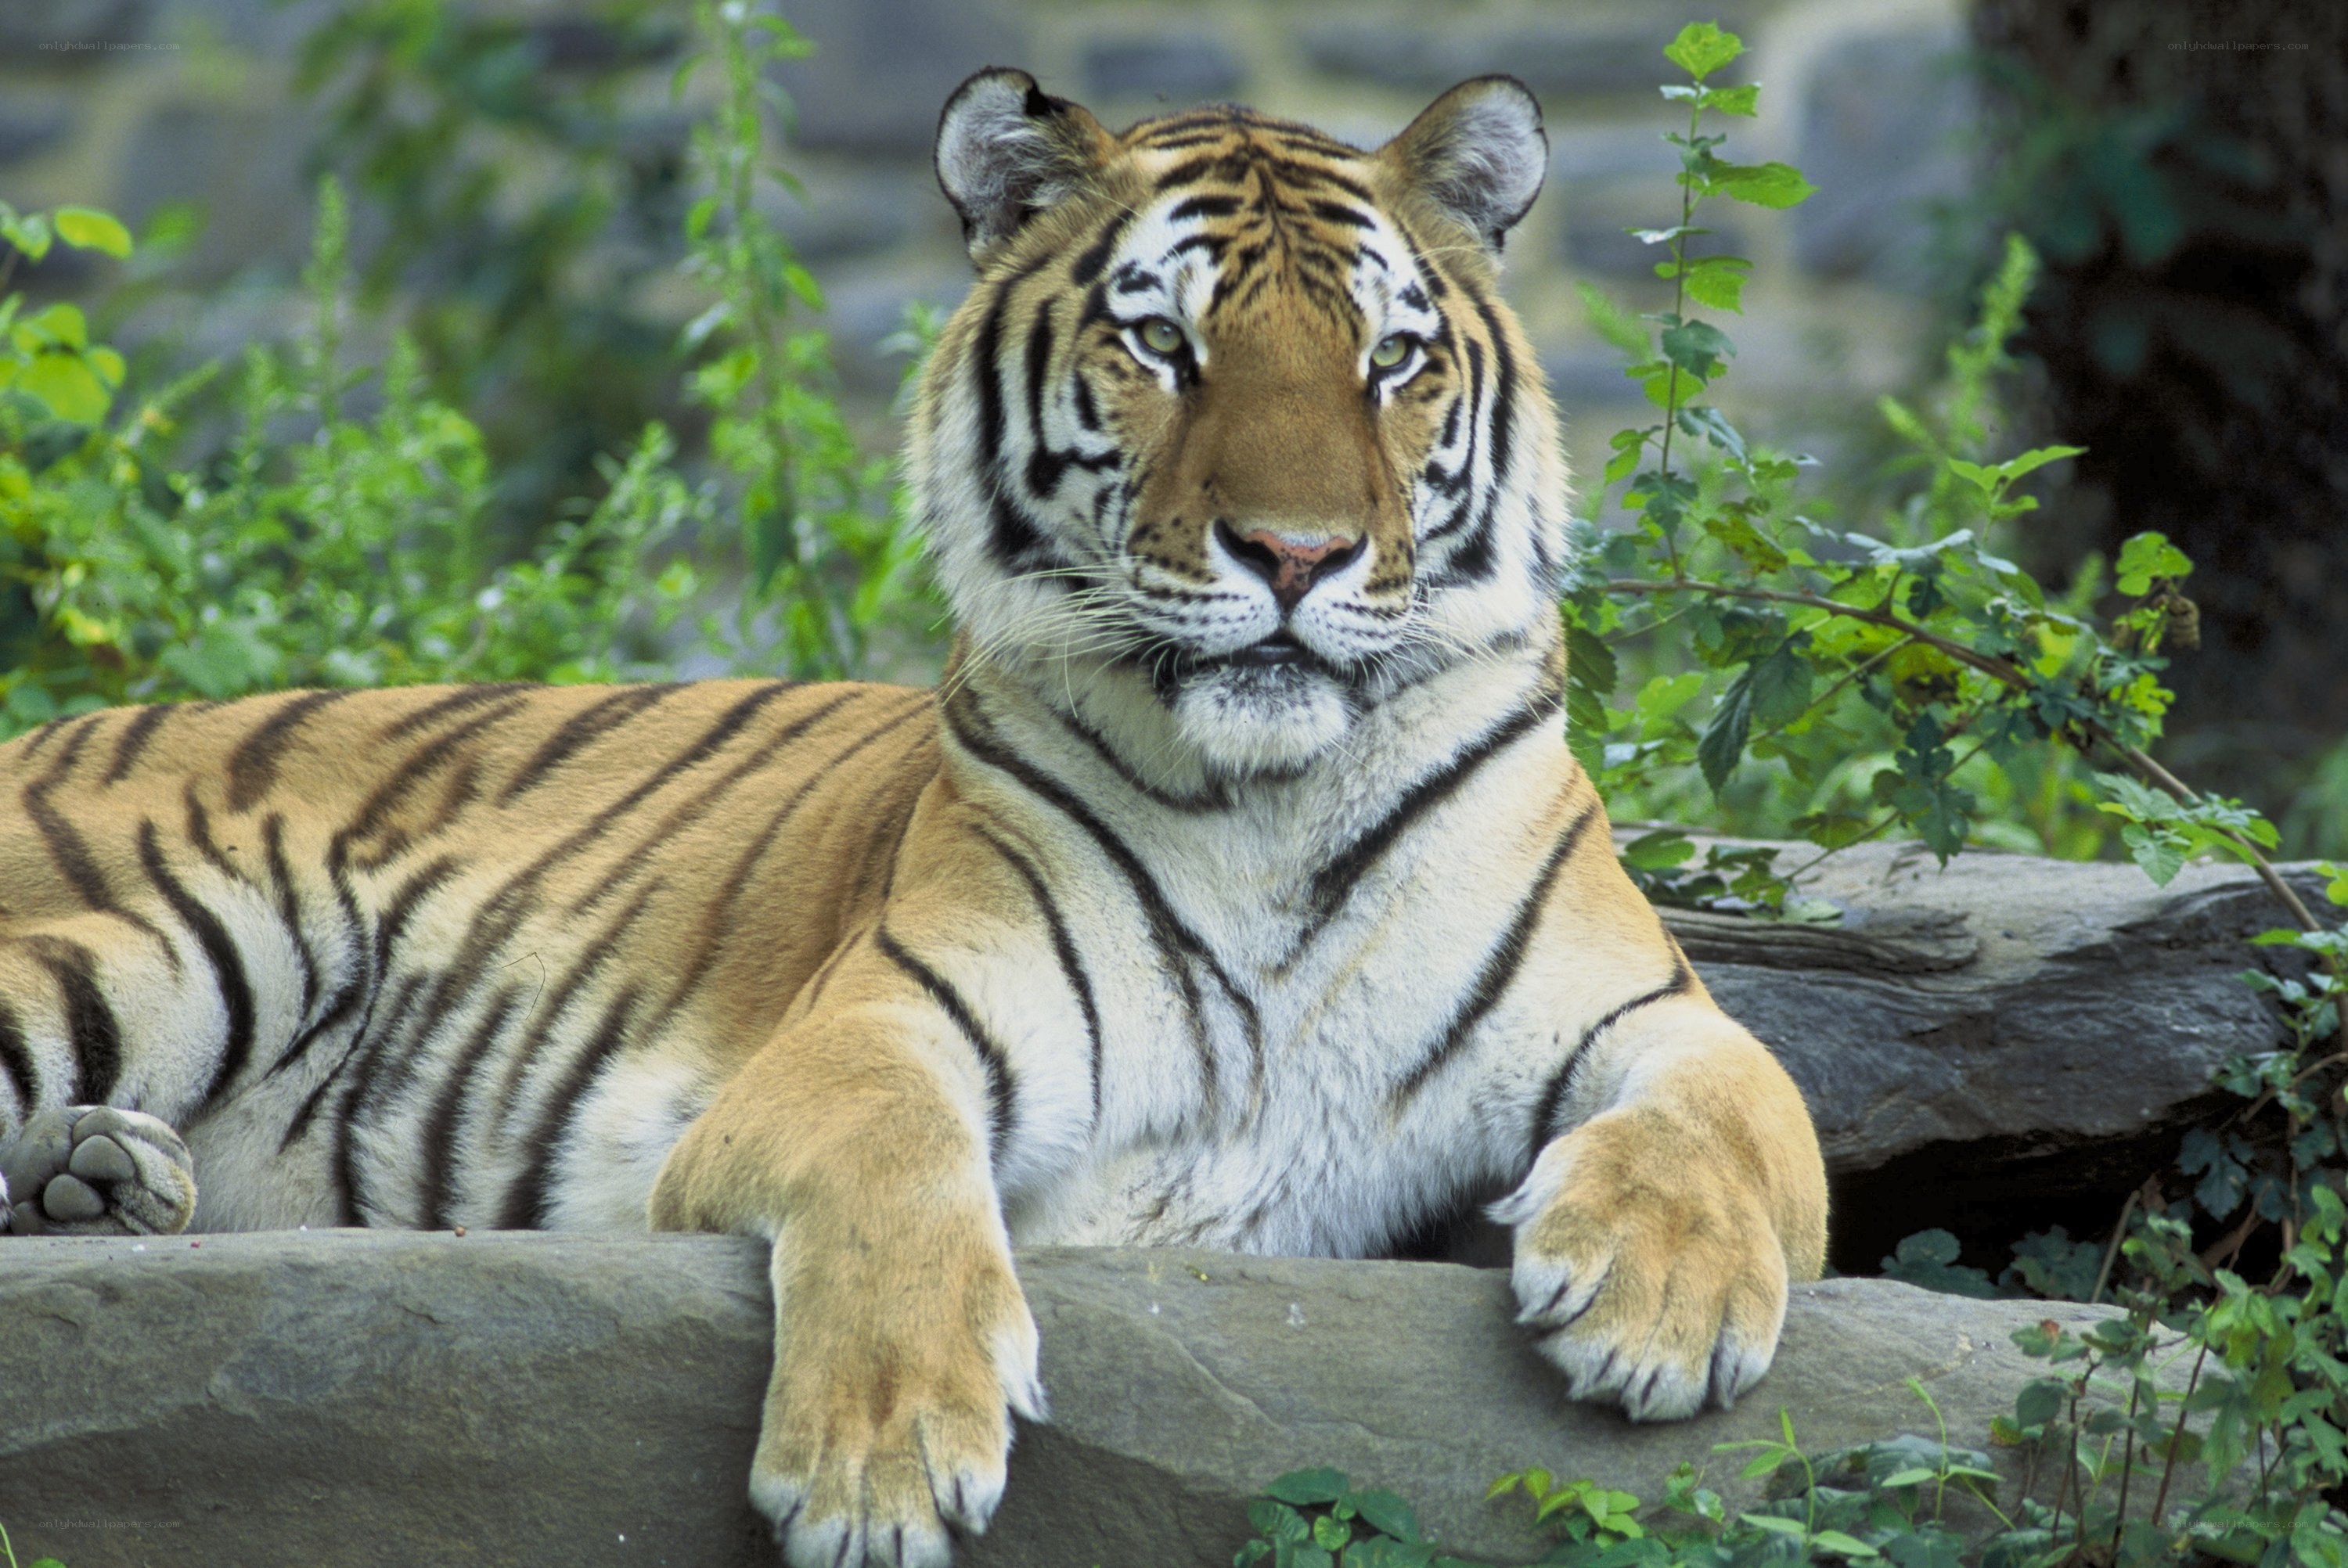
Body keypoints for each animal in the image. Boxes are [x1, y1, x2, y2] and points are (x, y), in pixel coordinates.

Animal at [0, 69, 1827, 1568]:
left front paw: (1659, 1309)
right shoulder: (877, 1025)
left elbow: (1738, 1111)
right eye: (1165, 346)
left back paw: (99, 1180)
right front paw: (879, 1466)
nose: (1299, 555)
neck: (1270, 804)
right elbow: (898, 1169)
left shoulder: (1652, 1009)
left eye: (1392, 360)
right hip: (213, 926)